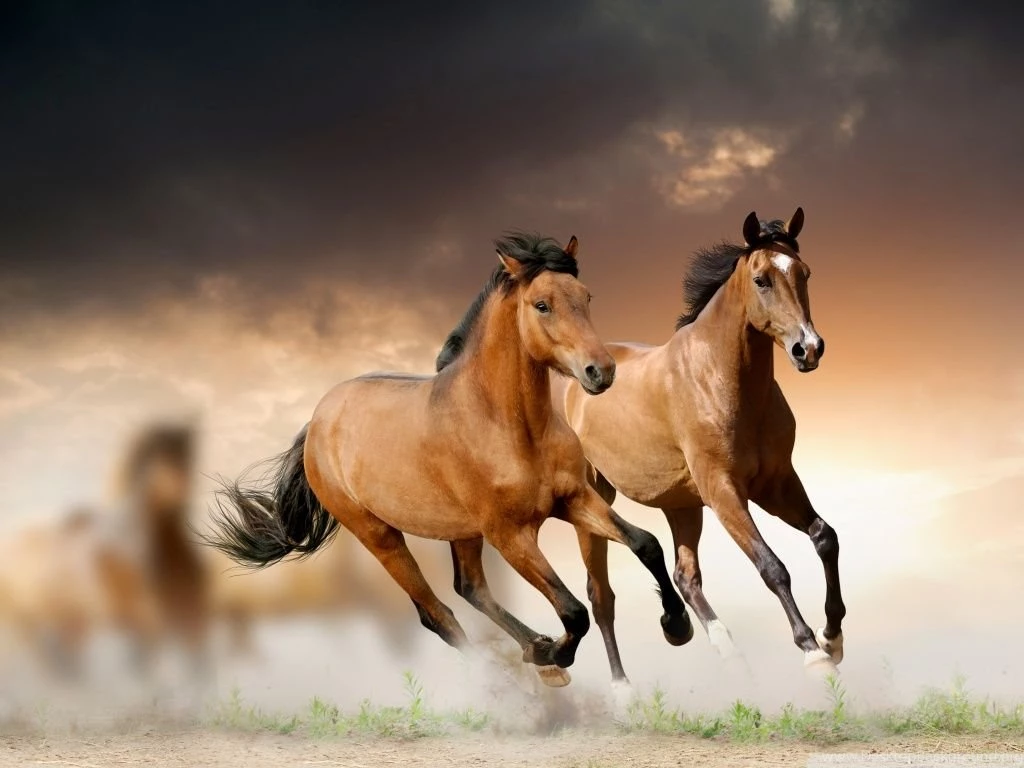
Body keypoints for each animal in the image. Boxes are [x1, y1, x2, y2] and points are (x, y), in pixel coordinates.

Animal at [203, 232, 693, 687]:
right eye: (542, 305)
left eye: (586, 296)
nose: (601, 372)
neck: (509, 426)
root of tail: (317, 422)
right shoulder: (510, 534)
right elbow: (573, 611)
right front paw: (555, 654)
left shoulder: (573, 499)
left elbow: (646, 543)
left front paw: (677, 626)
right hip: (380, 535)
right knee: (437, 614)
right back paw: (515, 674)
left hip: (462, 531)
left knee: (469, 588)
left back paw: (533, 649)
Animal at [563, 208, 845, 687]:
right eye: (762, 279)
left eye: (804, 273)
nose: (808, 349)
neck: (719, 379)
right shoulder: (724, 492)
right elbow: (772, 566)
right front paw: (812, 652)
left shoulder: (776, 484)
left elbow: (825, 538)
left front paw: (833, 637)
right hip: (594, 501)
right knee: (601, 596)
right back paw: (624, 690)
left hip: (681, 505)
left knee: (685, 576)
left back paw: (720, 648)